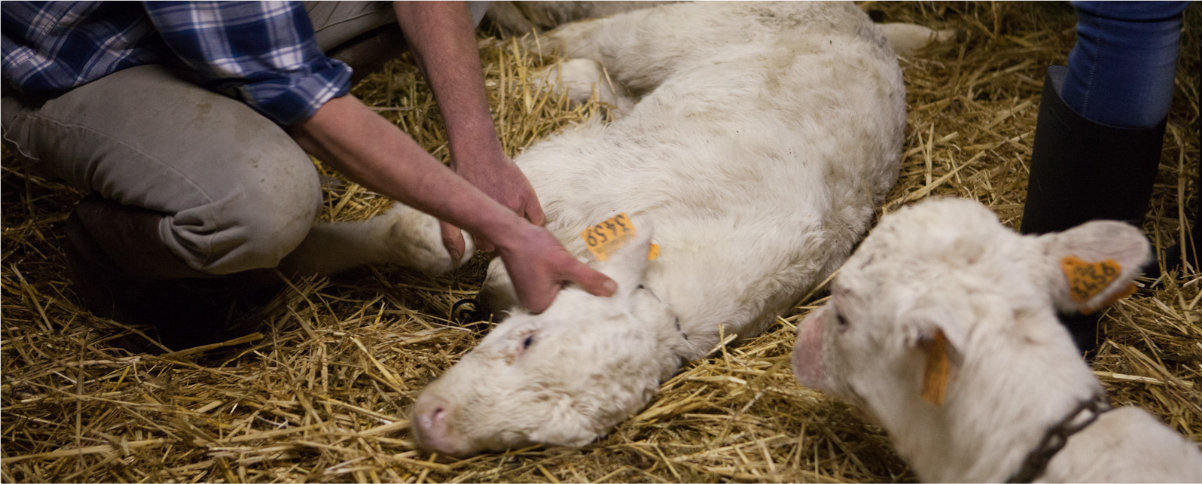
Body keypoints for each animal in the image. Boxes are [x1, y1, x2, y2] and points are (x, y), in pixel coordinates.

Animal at [408, 2, 903, 458]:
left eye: (538, 440)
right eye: (528, 341)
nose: (431, 426)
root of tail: (864, 20)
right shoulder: (585, 168)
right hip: (660, 34)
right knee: (575, 38)